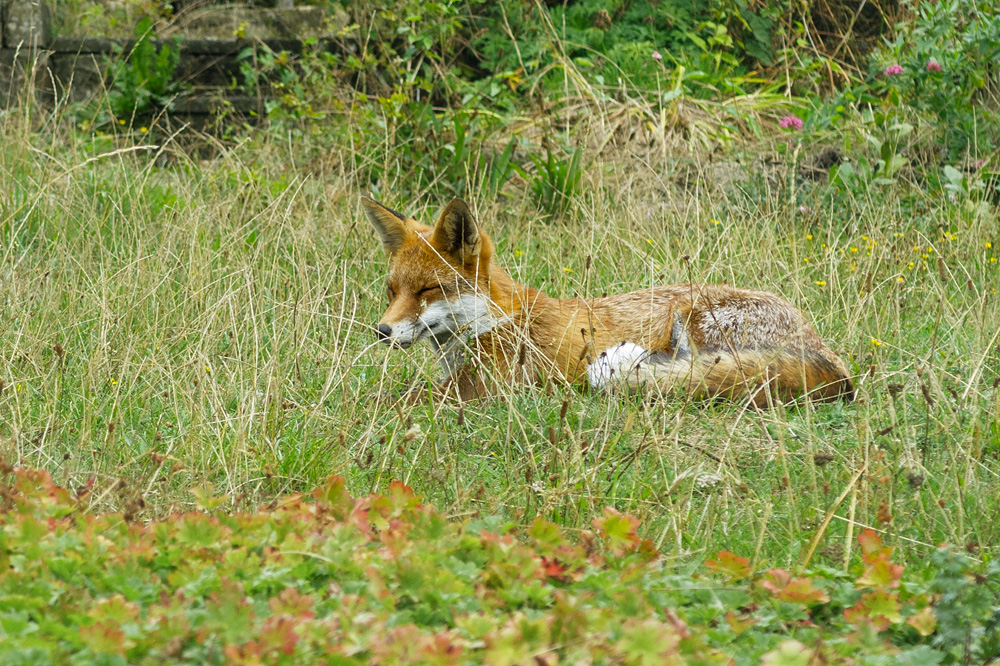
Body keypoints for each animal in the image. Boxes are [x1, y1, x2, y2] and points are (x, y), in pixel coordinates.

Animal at [363, 196, 854, 407]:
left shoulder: (489, 386)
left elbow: (393, 398)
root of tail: (836, 365)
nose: (381, 331)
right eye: (392, 290)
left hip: (696, 323)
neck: (496, 321)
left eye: (427, 291)